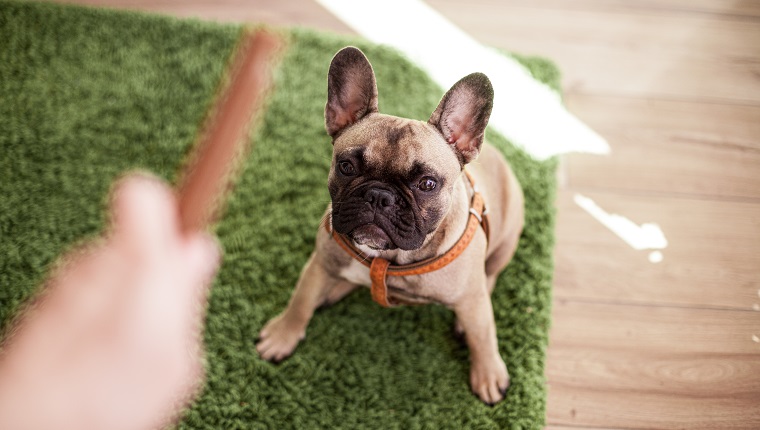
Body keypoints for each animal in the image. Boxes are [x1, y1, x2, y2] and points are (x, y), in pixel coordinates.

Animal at [255, 47, 524, 406]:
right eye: (346, 166)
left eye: (427, 184)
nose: (379, 196)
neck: (391, 260)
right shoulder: (320, 263)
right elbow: (301, 300)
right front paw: (283, 334)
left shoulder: (472, 299)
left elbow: (484, 335)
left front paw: (489, 374)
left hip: (507, 240)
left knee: (490, 274)